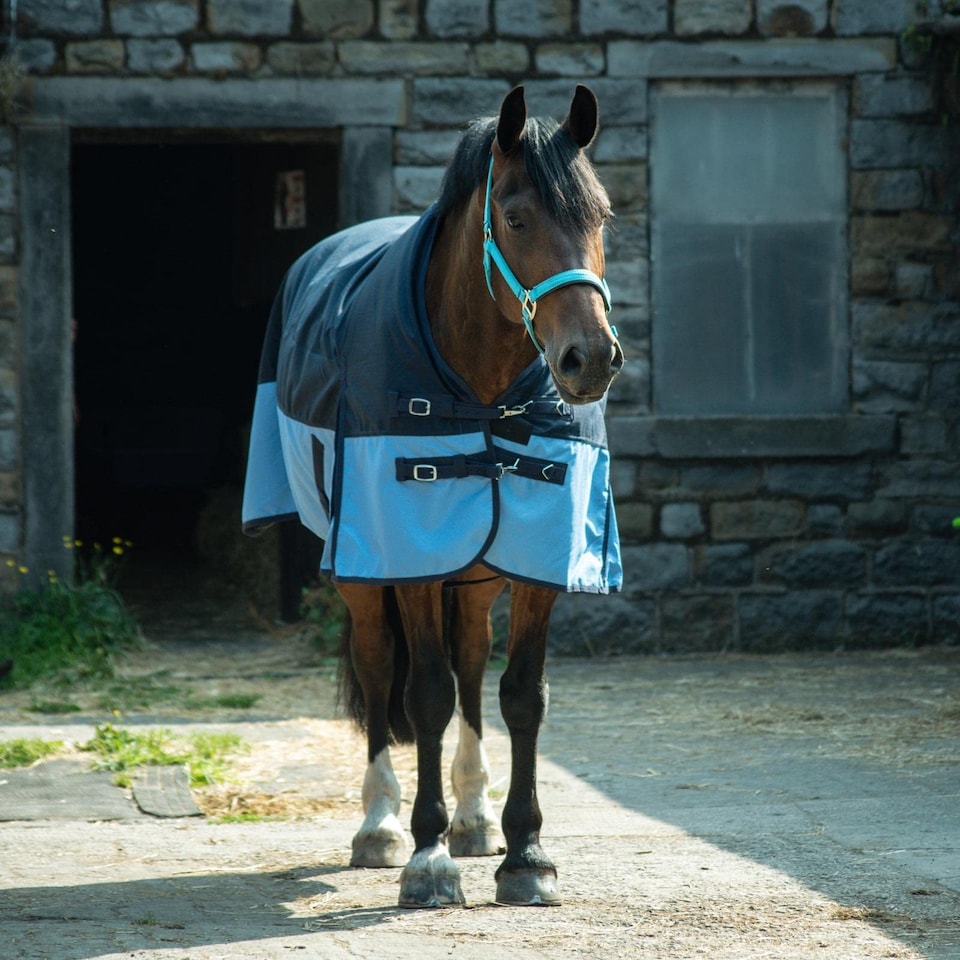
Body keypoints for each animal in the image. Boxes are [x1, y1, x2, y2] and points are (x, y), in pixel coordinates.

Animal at [242, 84, 623, 907]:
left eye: (602, 216)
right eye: (514, 216)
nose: (590, 359)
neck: (480, 388)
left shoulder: (537, 561)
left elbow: (520, 695)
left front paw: (526, 854)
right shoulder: (410, 555)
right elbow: (422, 696)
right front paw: (427, 858)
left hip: (474, 576)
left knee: (472, 666)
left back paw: (474, 819)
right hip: (365, 575)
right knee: (382, 666)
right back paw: (381, 825)